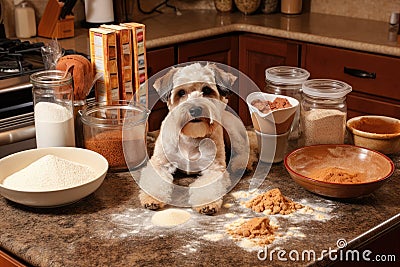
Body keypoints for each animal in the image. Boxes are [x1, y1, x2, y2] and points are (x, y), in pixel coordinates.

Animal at [138, 62, 256, 216]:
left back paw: (242, 164)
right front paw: (152, 199)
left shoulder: (214, 168)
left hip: (232, 132)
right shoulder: (159, 163)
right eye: (181, 92)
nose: (195, 110)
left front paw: (207, 203)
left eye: (206, 89)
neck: (190, 137)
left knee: (246, 149)